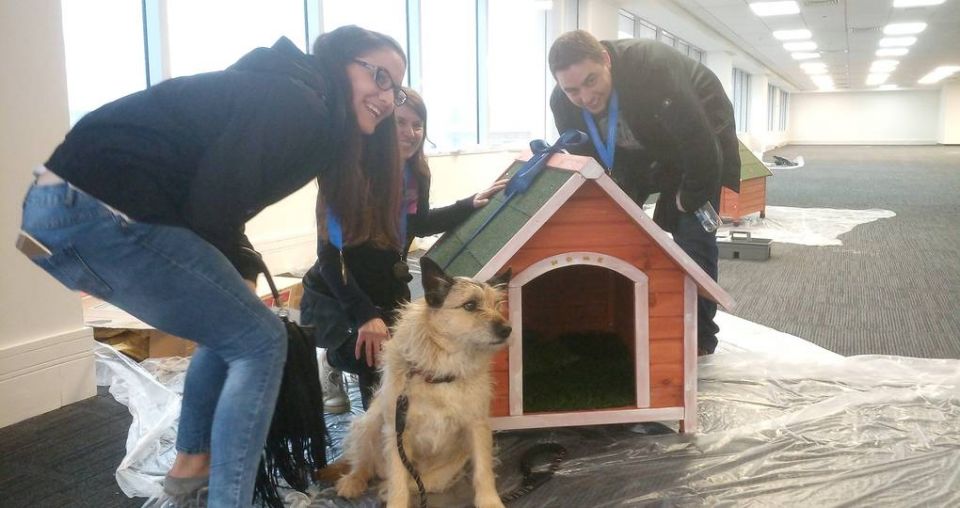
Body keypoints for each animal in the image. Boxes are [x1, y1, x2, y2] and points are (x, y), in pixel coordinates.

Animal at [340, 258, 516, 508]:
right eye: (470, 305)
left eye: (498, 305)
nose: (507, 330)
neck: (444, 370)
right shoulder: (397, 433)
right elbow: (398, 480)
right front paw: (395, 501)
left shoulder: (477, 426)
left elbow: (483, 470)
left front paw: (489, 501)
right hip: (370, 422)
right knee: (365, 461)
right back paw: (353, 481)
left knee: (428, 482)